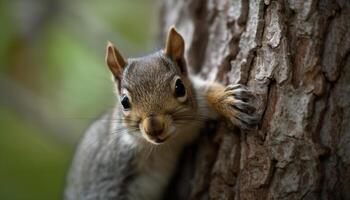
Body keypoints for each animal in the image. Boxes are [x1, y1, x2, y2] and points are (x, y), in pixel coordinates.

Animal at [65, 26, 258, 200]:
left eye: (180, 88)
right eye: (124, 102)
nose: (154, 128)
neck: (166, 144)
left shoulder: (197, 106)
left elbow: (206, 92)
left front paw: (227, 101)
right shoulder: (108, 174)